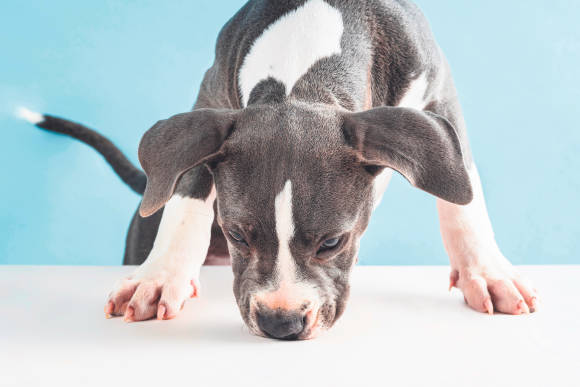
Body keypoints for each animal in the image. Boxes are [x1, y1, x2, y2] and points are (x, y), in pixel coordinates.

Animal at [21, 0, 540, 340]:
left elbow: (461, 191)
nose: (281, 323)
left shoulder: (437, 94)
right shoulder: (210, 107)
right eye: (236, 234)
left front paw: (485, 270)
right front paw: (160, 276)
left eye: (333, 242)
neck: (303, 69)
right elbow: (190, 187)